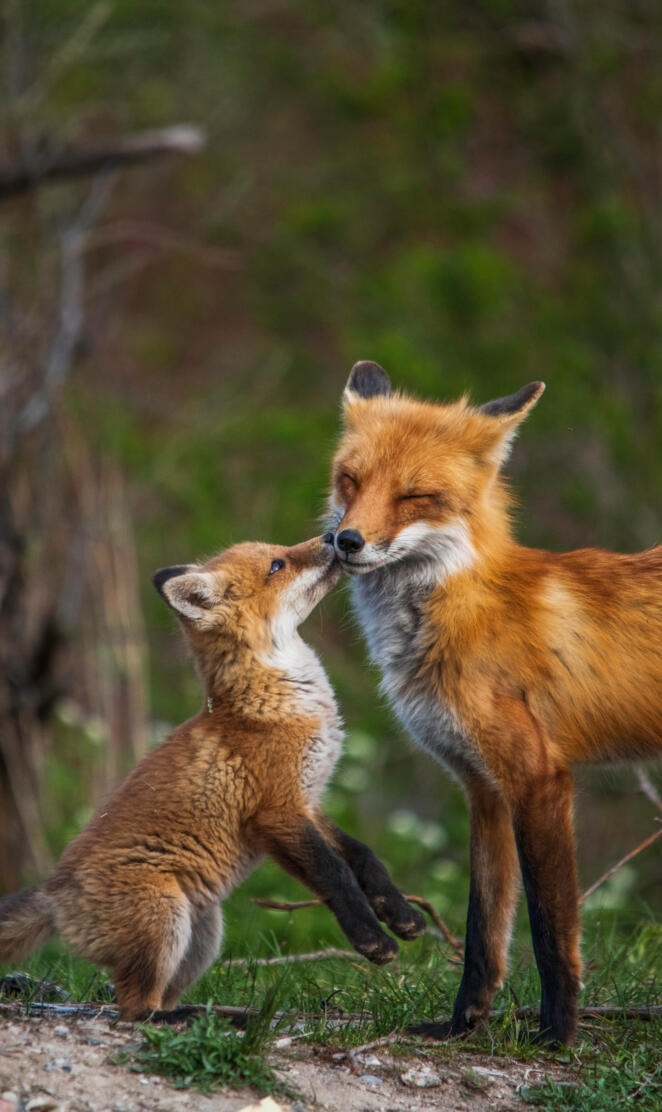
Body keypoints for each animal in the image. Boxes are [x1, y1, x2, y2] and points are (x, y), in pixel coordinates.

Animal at [0, 533, 425, 1020]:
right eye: (277, 565)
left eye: (279, 551)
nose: (333, 537)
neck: (279, 703)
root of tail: (54, 892)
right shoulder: (276, 814)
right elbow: (335, 874)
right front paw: (373, 940)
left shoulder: (308, 800)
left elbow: (363, 856)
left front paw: (401, 914)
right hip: (165, 919)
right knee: (135, 1010)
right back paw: (189, 1018)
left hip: (203, 933)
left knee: (153, 998)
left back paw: (220, 1015)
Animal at [328, 360, 662, 1046]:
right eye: (351, 479)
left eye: (414, 496)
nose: (345, 541)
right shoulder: (482, 787)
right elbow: (485, 929)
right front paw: (460, 1025)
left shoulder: (538, 778)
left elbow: (549, 928)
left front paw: (558, 1035)